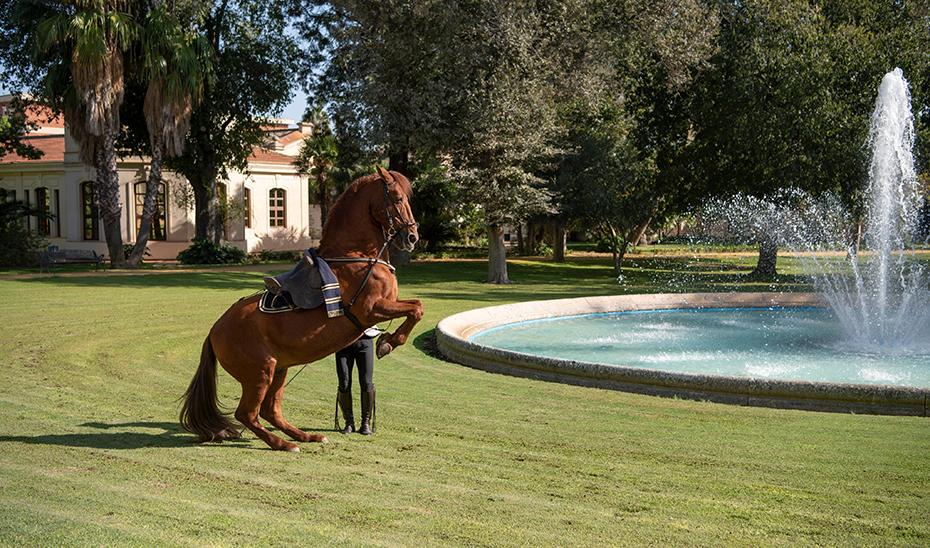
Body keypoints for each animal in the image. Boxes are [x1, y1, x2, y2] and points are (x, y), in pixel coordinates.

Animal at [179, 169, 424, 452]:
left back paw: (305, 436)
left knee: (270, 410)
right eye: (397, 198)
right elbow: (417, 309)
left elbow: (416, 307)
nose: (412, 237)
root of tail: (214, 331)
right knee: (247, 414)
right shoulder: (371, 310)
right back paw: (283, 444)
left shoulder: (381, 308)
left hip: (279, 369)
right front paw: (388, 342)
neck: (357, 256)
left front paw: (387, 341)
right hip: (260, 373)